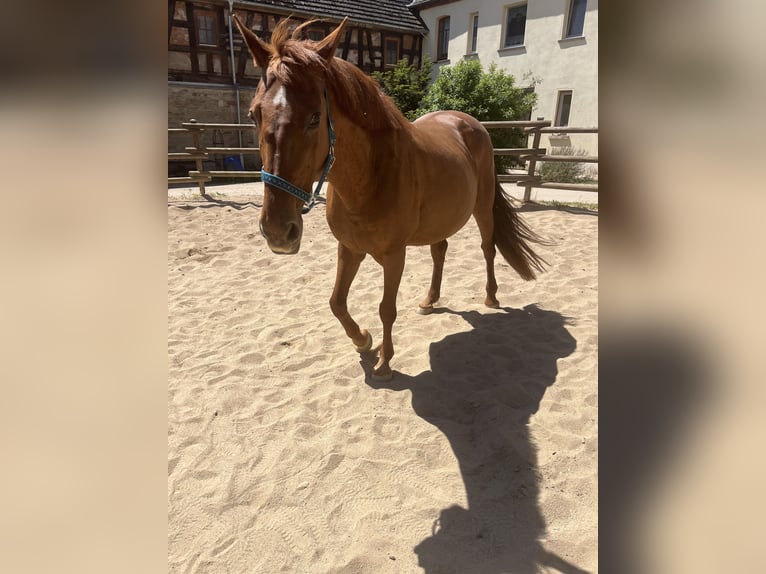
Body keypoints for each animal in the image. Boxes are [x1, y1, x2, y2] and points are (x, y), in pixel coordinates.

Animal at [232, 16, 544, 382]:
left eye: (314, 118)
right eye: (254, 114)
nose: (278, 232)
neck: (369, 178)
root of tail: (470, 123)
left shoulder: (394, 256)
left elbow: (386, 308)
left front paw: (384, 363)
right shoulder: (349, 249)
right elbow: (336, 302)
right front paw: (363, 340)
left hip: (482, 209)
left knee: (488, 248)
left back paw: (491, 297)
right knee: (440, 251)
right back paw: (429, 300)